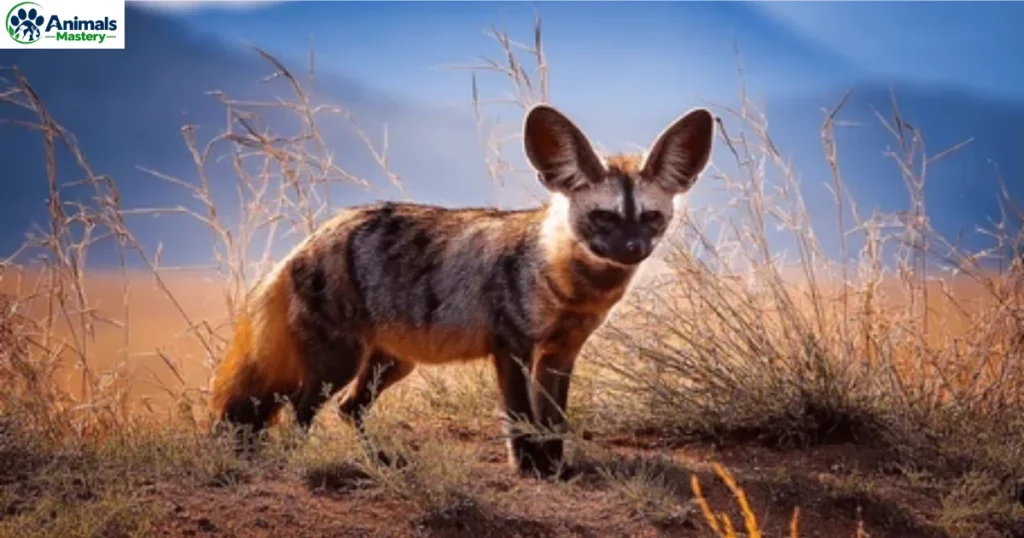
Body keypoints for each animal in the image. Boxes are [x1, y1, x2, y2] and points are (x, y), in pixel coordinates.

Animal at [209, 103, 715, 478]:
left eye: (650, 217)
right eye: (604, 217)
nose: (633, 249)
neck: (568, 289)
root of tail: (307, 243)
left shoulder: (561, 355)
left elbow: (554, 424)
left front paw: (555, 471)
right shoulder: (512, 350)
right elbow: (521, 422)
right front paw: (530, 472)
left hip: (391, 364)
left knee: (349, 410)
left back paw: (379, 464)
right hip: (338, 363)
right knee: (298, 413)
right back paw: (297, 464)